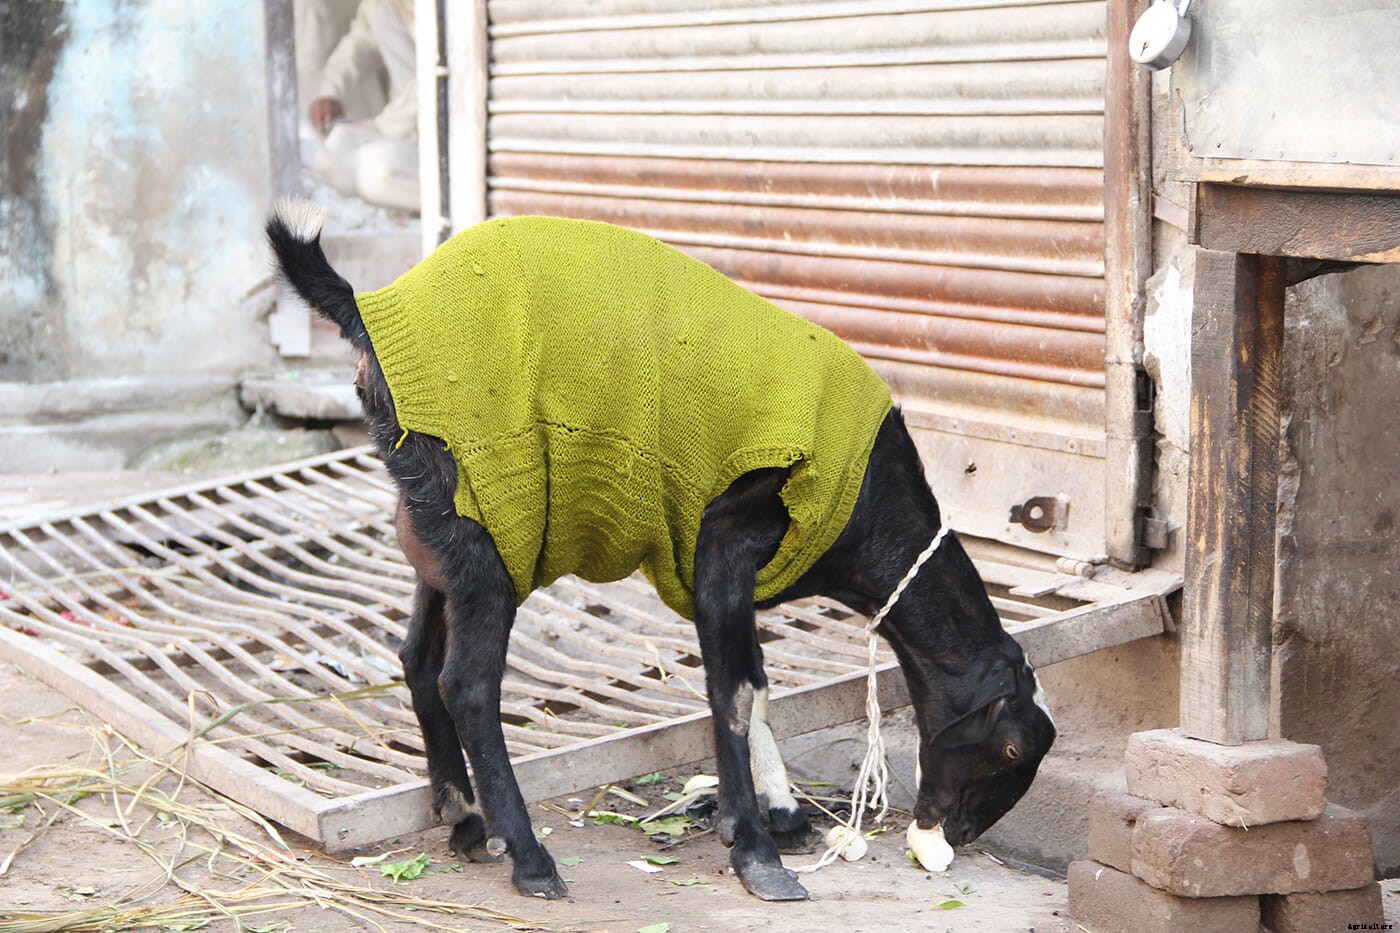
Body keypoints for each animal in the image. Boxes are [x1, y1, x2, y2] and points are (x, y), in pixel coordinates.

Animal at [266, 202, 1055, 902]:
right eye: (1013, 748)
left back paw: (462, 818)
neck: (866, 512)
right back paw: (528, 856)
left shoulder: (728, 571)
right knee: (466, 683)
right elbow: (734, 692)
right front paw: (757, 851)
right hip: (484, 524)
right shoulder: (726, 540)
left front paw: (781, 815)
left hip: (435, 526)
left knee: (416, 659)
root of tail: (367, 309)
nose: (952, 832)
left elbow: (756, 681)